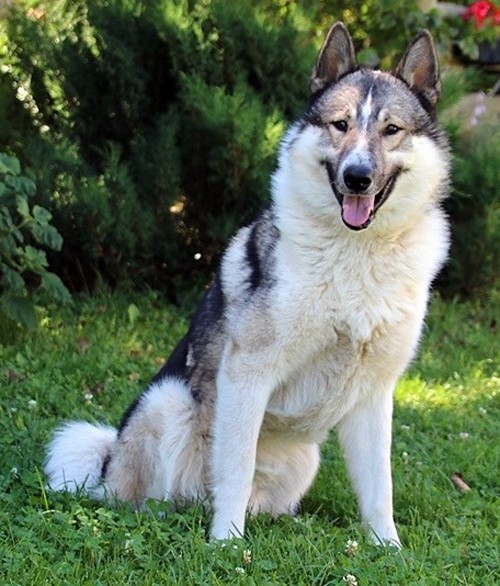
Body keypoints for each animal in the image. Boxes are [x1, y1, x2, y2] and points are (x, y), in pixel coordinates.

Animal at [45, 22, 450, 547]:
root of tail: (107, 464)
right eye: (340, 125)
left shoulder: (375, 395)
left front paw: (388, 547)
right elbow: (235, 468)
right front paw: (227, 543)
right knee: (160, 497)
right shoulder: (246, 374)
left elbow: (380, 487)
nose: (357, 177)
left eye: (391, 130)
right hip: (166, 403)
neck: (355, 252)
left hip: (304, 458)